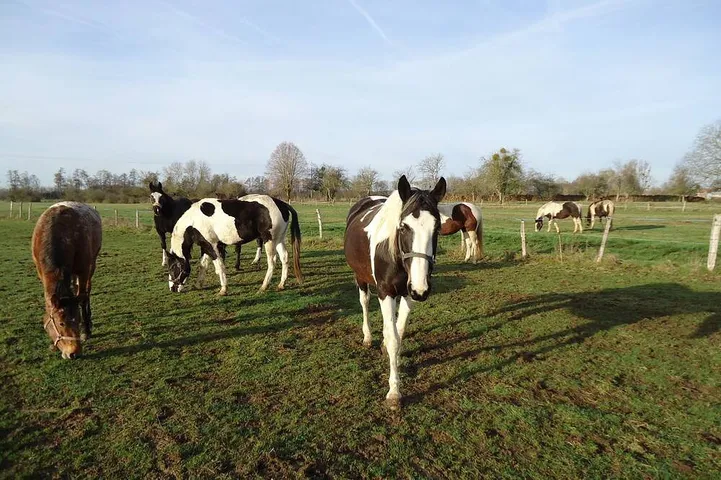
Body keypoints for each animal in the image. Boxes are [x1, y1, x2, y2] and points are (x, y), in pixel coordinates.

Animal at [31, 202, 102, 359]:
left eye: (77, 319)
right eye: (61, 323)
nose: (74, 353)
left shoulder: (83, 270)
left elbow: (82, 298)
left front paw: (85, 331)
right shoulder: (42, 273)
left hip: (92, 264)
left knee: (86, 292)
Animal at [167, 195, 302, 295]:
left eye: (173, 268)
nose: (172, 288)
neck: (193, 221)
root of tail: (281, 204)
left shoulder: (212, 246)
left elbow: (219, 266)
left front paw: (223, 289)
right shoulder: (206, 246)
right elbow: (203, 265)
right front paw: (199, 284)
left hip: (268, 240)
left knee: (272, 261)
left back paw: (264, 286)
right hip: (278, 239)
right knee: (284, 258)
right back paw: (281, 284)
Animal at [344, 175, 446, 409]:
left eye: (437, 228)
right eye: (403, 227)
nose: (421, 288)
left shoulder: (408, 294)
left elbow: (398, 333)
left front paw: (396, 361)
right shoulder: (386, 292)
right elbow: (392, 338)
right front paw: (394, 392)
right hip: (361, 277)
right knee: (365, 302)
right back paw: (368, 337)